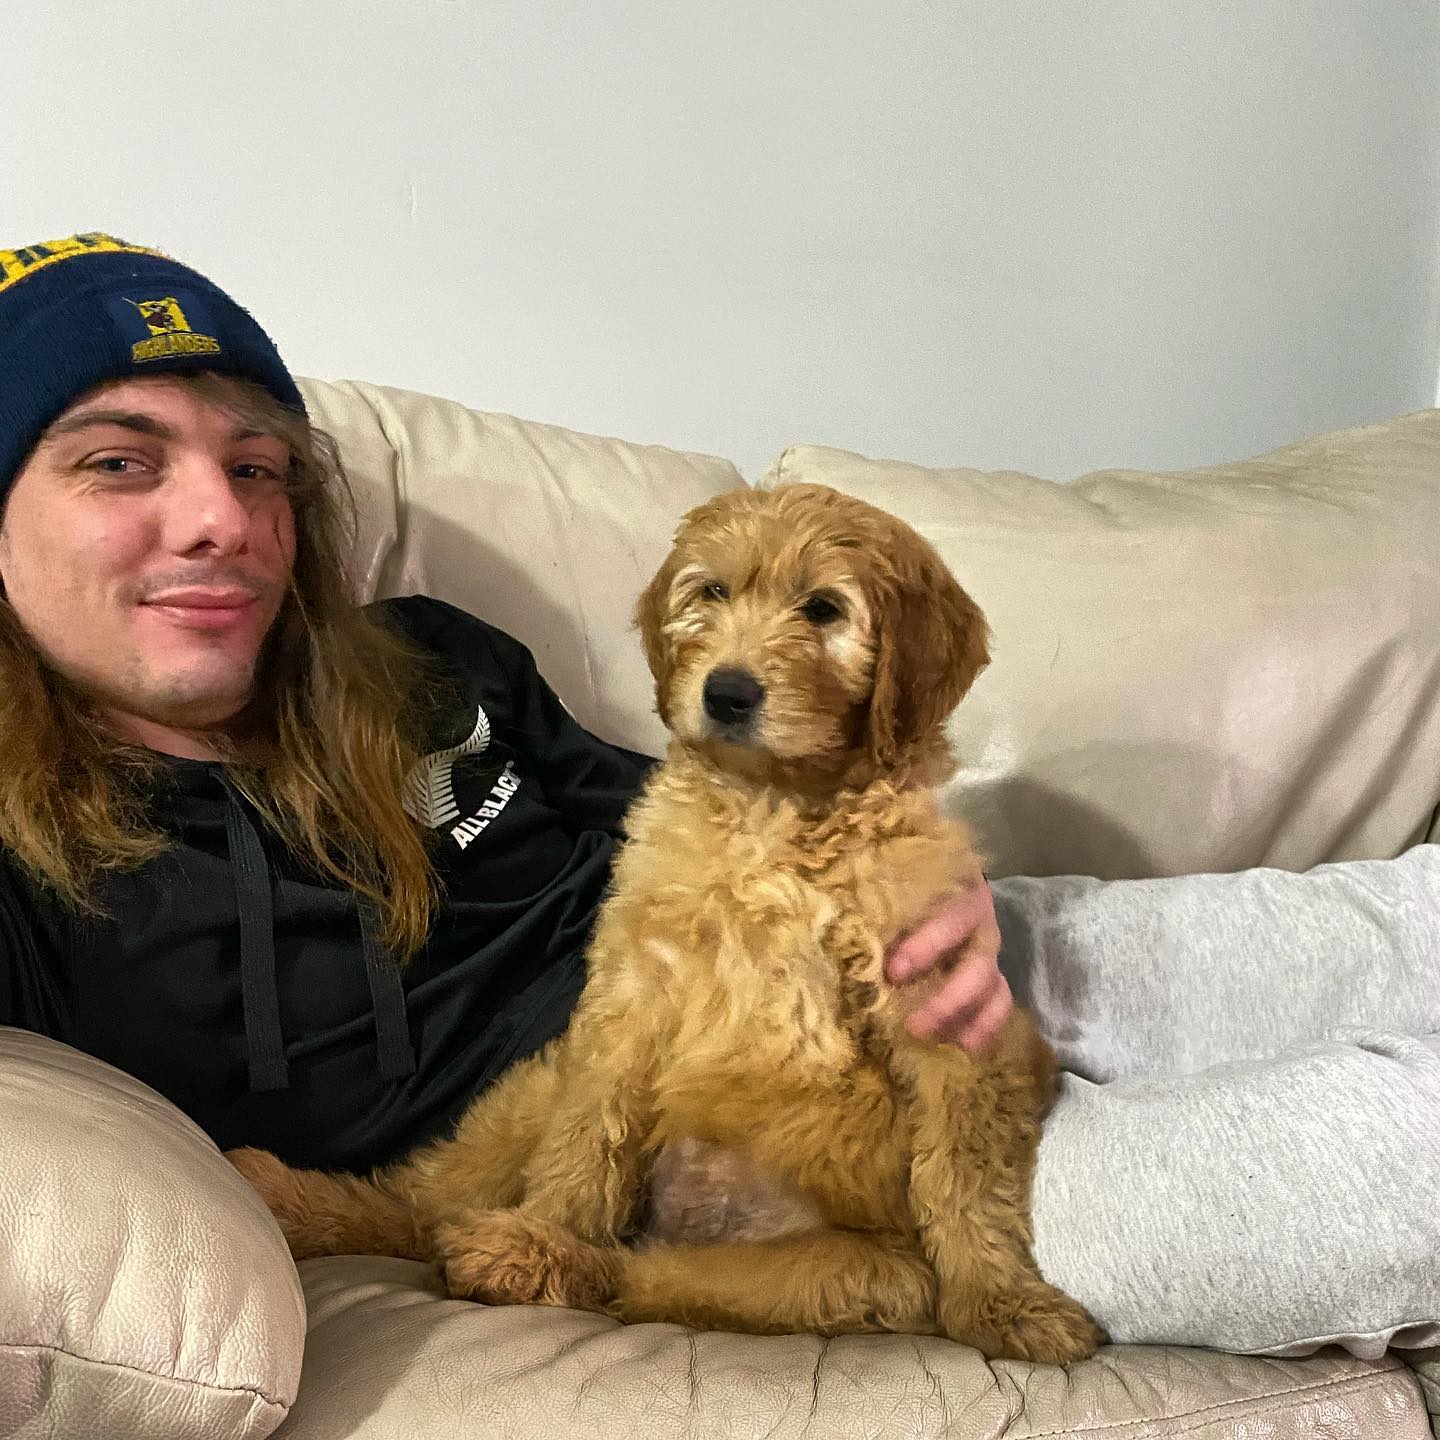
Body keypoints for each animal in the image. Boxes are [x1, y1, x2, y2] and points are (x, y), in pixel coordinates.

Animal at [230, 482, 1104, 1364]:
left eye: (823, 609)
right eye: (711, 592)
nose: (727, 693)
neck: (775, 810)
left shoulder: (945, 1021)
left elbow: (965, 1173)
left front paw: (1001, 1300)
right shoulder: (635, 988)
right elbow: (590, 1135)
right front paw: (551, 1224)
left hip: (855, 1276)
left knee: (641, 1277)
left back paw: (545, 1261)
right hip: (532, 1093)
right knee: (424, 1203)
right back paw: (360, 1212)